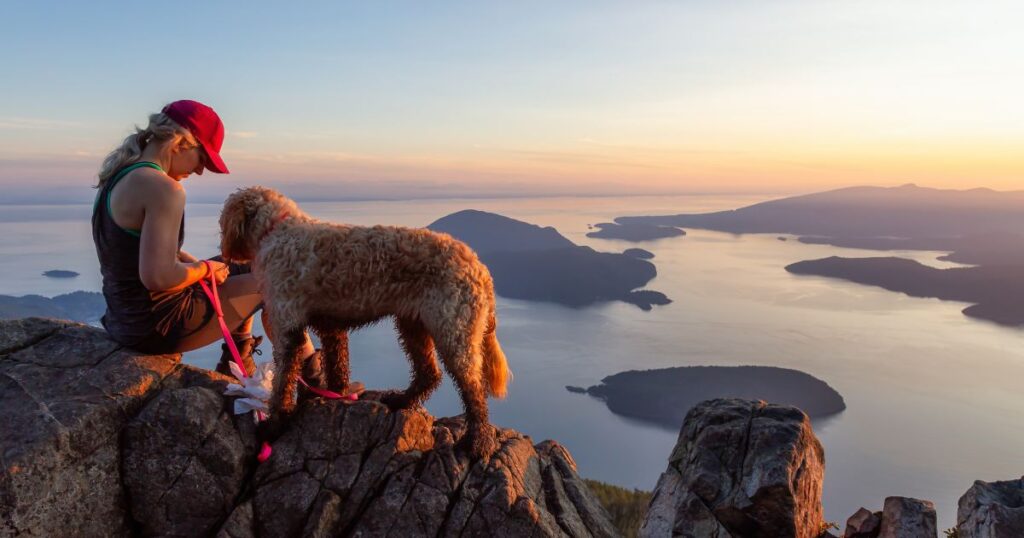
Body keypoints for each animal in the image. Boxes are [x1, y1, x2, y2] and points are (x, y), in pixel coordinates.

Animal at [221, 185, 516, 457]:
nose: (224, 253)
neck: (278, 230)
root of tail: (479, 268)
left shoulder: (287, 326)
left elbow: (283, 381)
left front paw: (274, 424)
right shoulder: (331, 327)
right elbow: (337, 365)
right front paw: (336, 394)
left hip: (454, 331)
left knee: (473, 388)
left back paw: (478, 441)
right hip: (413, 324)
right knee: (429, 373)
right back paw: (402, 399)